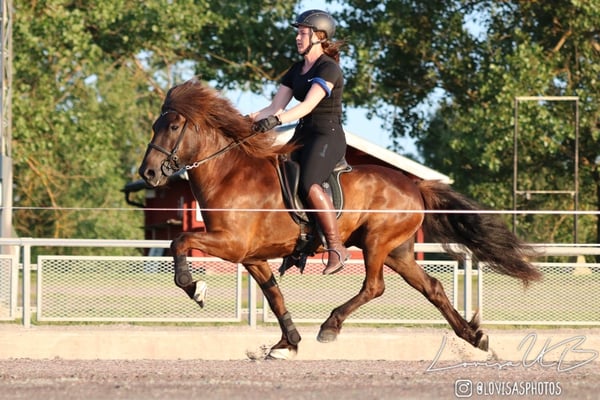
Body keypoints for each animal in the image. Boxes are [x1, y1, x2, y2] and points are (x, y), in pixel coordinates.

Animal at [138, 78, 540, 360]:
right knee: (432, 288)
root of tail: (413, 183)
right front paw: (287, 343)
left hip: (377, 243)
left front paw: (194, 287)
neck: (228, 174)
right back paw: (475, 337)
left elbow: (179, 240)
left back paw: (330, 325)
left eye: (172, 127)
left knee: (374, 287)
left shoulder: (232, 245)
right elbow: (274, 297)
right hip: (398, 251)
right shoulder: (252, 257)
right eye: (155, 126)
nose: (148, 173)